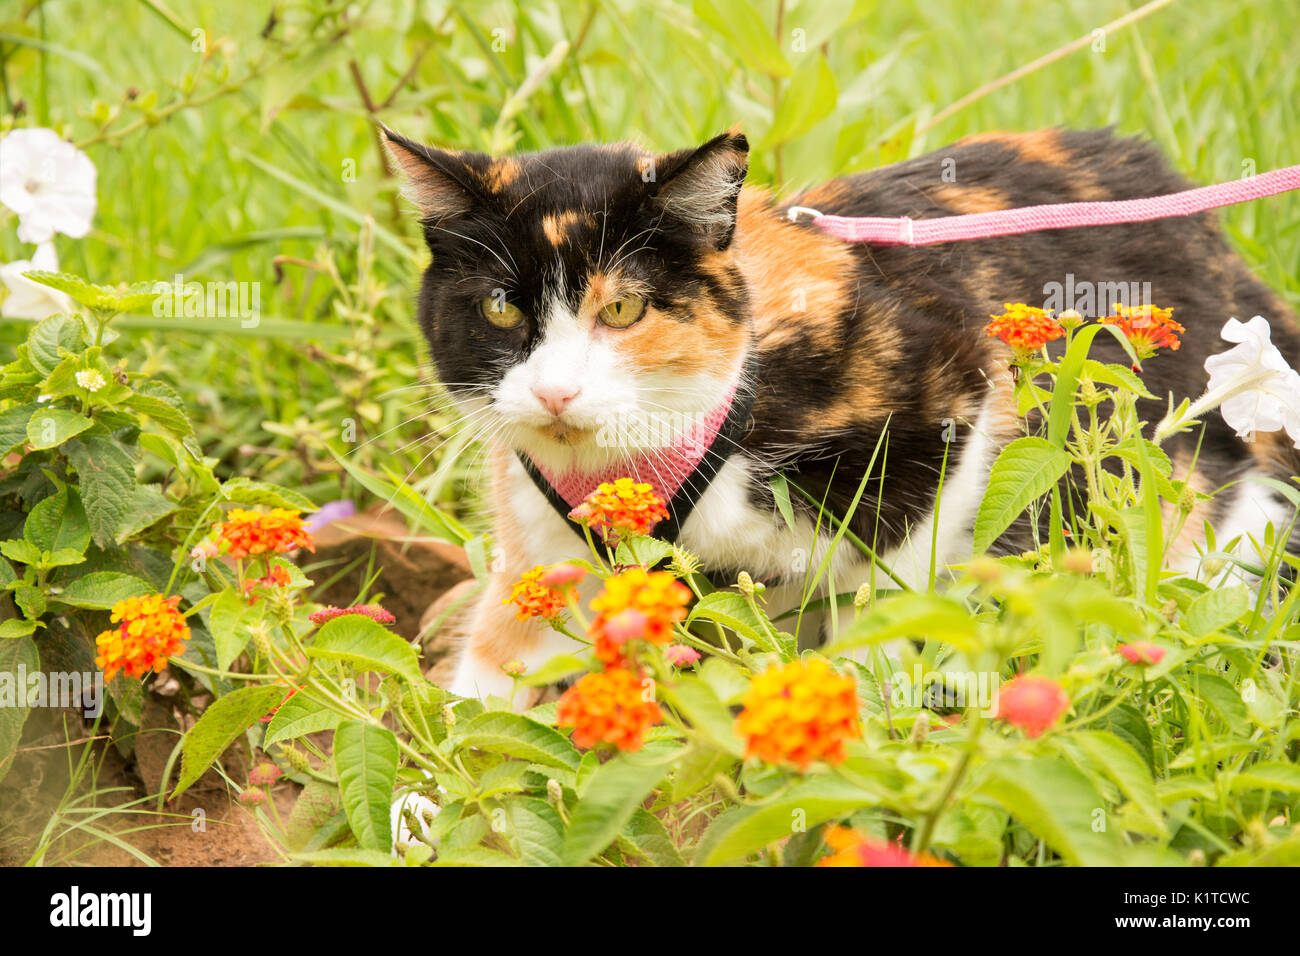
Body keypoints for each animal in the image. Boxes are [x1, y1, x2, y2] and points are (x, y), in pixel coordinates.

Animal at [379, 123, 1300, 702]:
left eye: (624, 309)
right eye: (501, 308)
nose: (554, 392)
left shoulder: (951, 387)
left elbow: (895, 576)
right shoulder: (541, 533)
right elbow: (497, 670)